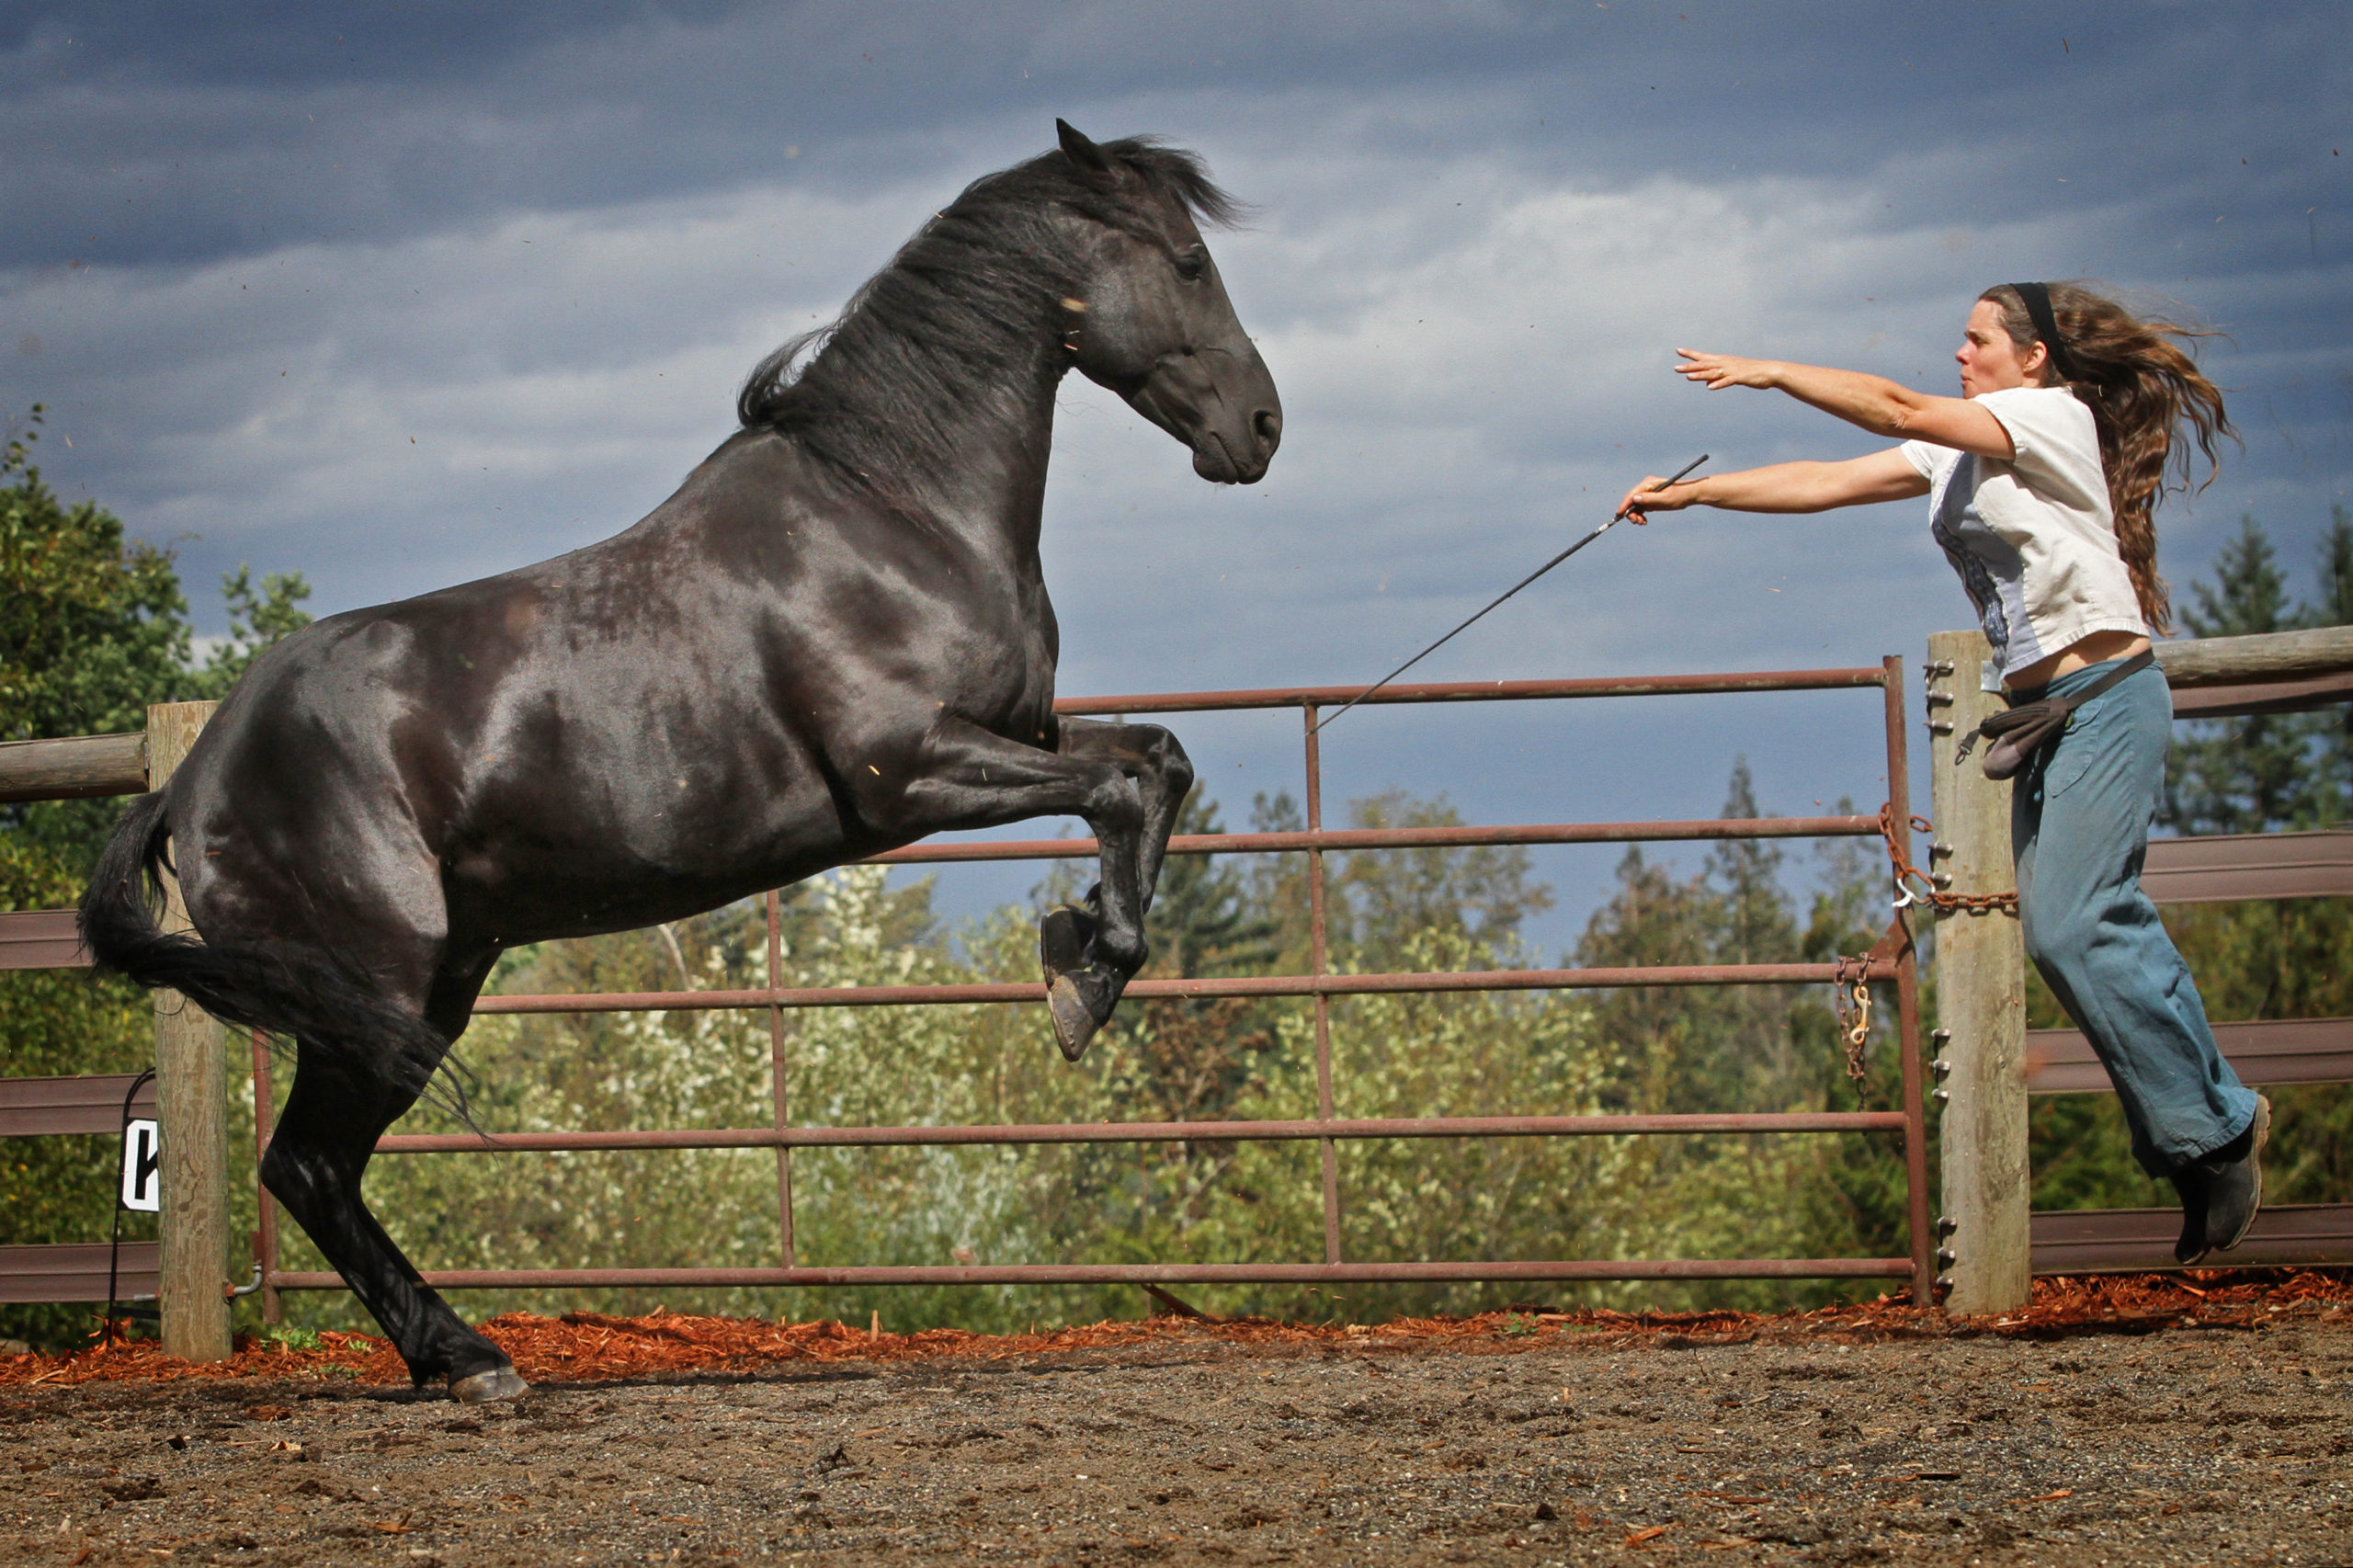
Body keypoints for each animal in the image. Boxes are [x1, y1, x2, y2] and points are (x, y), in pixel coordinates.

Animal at [79, 121, 1282, 1402]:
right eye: (1190, 261)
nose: (1261, 427)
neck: (891, 511)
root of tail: (190, 779)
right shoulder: (910, 773)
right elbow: (1119, 785)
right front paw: (1084, 974)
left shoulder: (1021, 732)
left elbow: (1158, 760)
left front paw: (1081, 943)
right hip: (377, 984)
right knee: (306, 1165)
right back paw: (472, 1360)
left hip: (426, 986)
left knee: (323, 1168)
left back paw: (455, 1357)